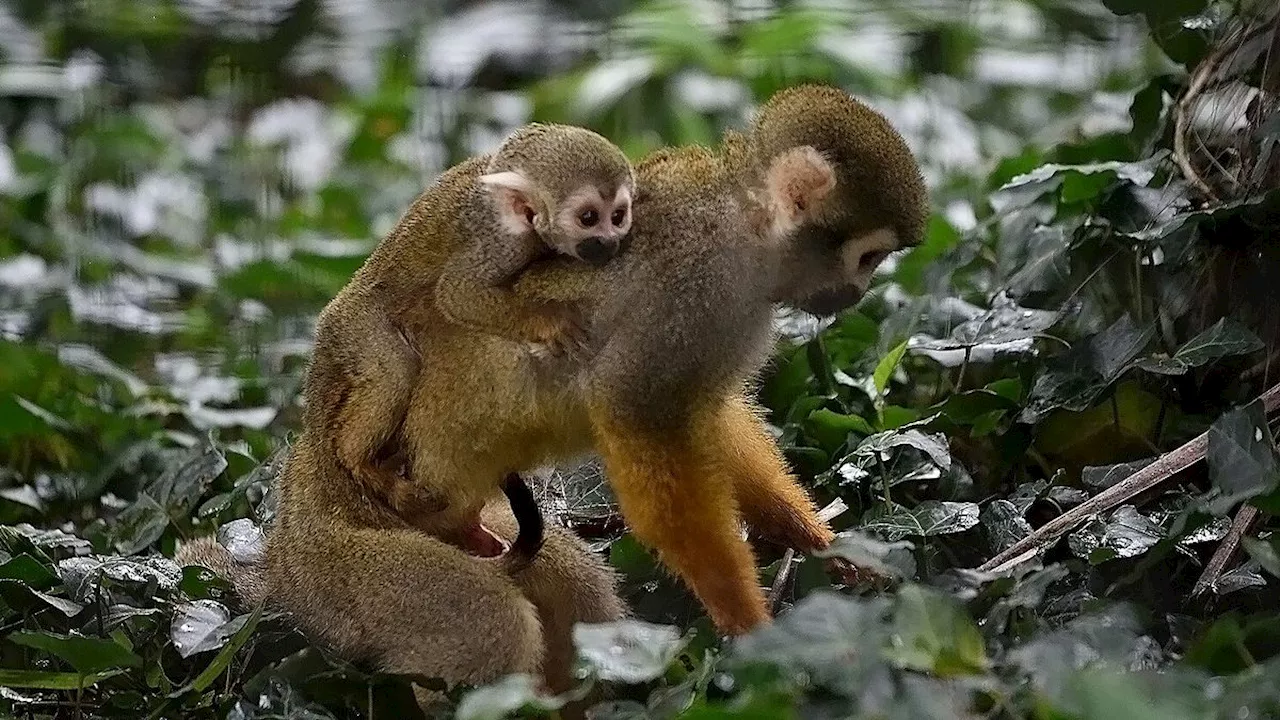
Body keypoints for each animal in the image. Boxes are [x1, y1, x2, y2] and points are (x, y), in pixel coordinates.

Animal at [309, 121, 629, 556]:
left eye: (618, 216)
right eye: (589, 217)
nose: (610, 243)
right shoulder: (499, 244)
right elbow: (457, 295)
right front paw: (551, 323)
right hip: (359, 329)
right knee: (394, 370)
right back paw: (358, 460)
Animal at [512, 85, 931, 632]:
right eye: (868, 258)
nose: (856, 294)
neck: (747, 231)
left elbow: (710, 417)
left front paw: (816, 540)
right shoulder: (693, 291)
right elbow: (640, 414)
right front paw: (749, 622)